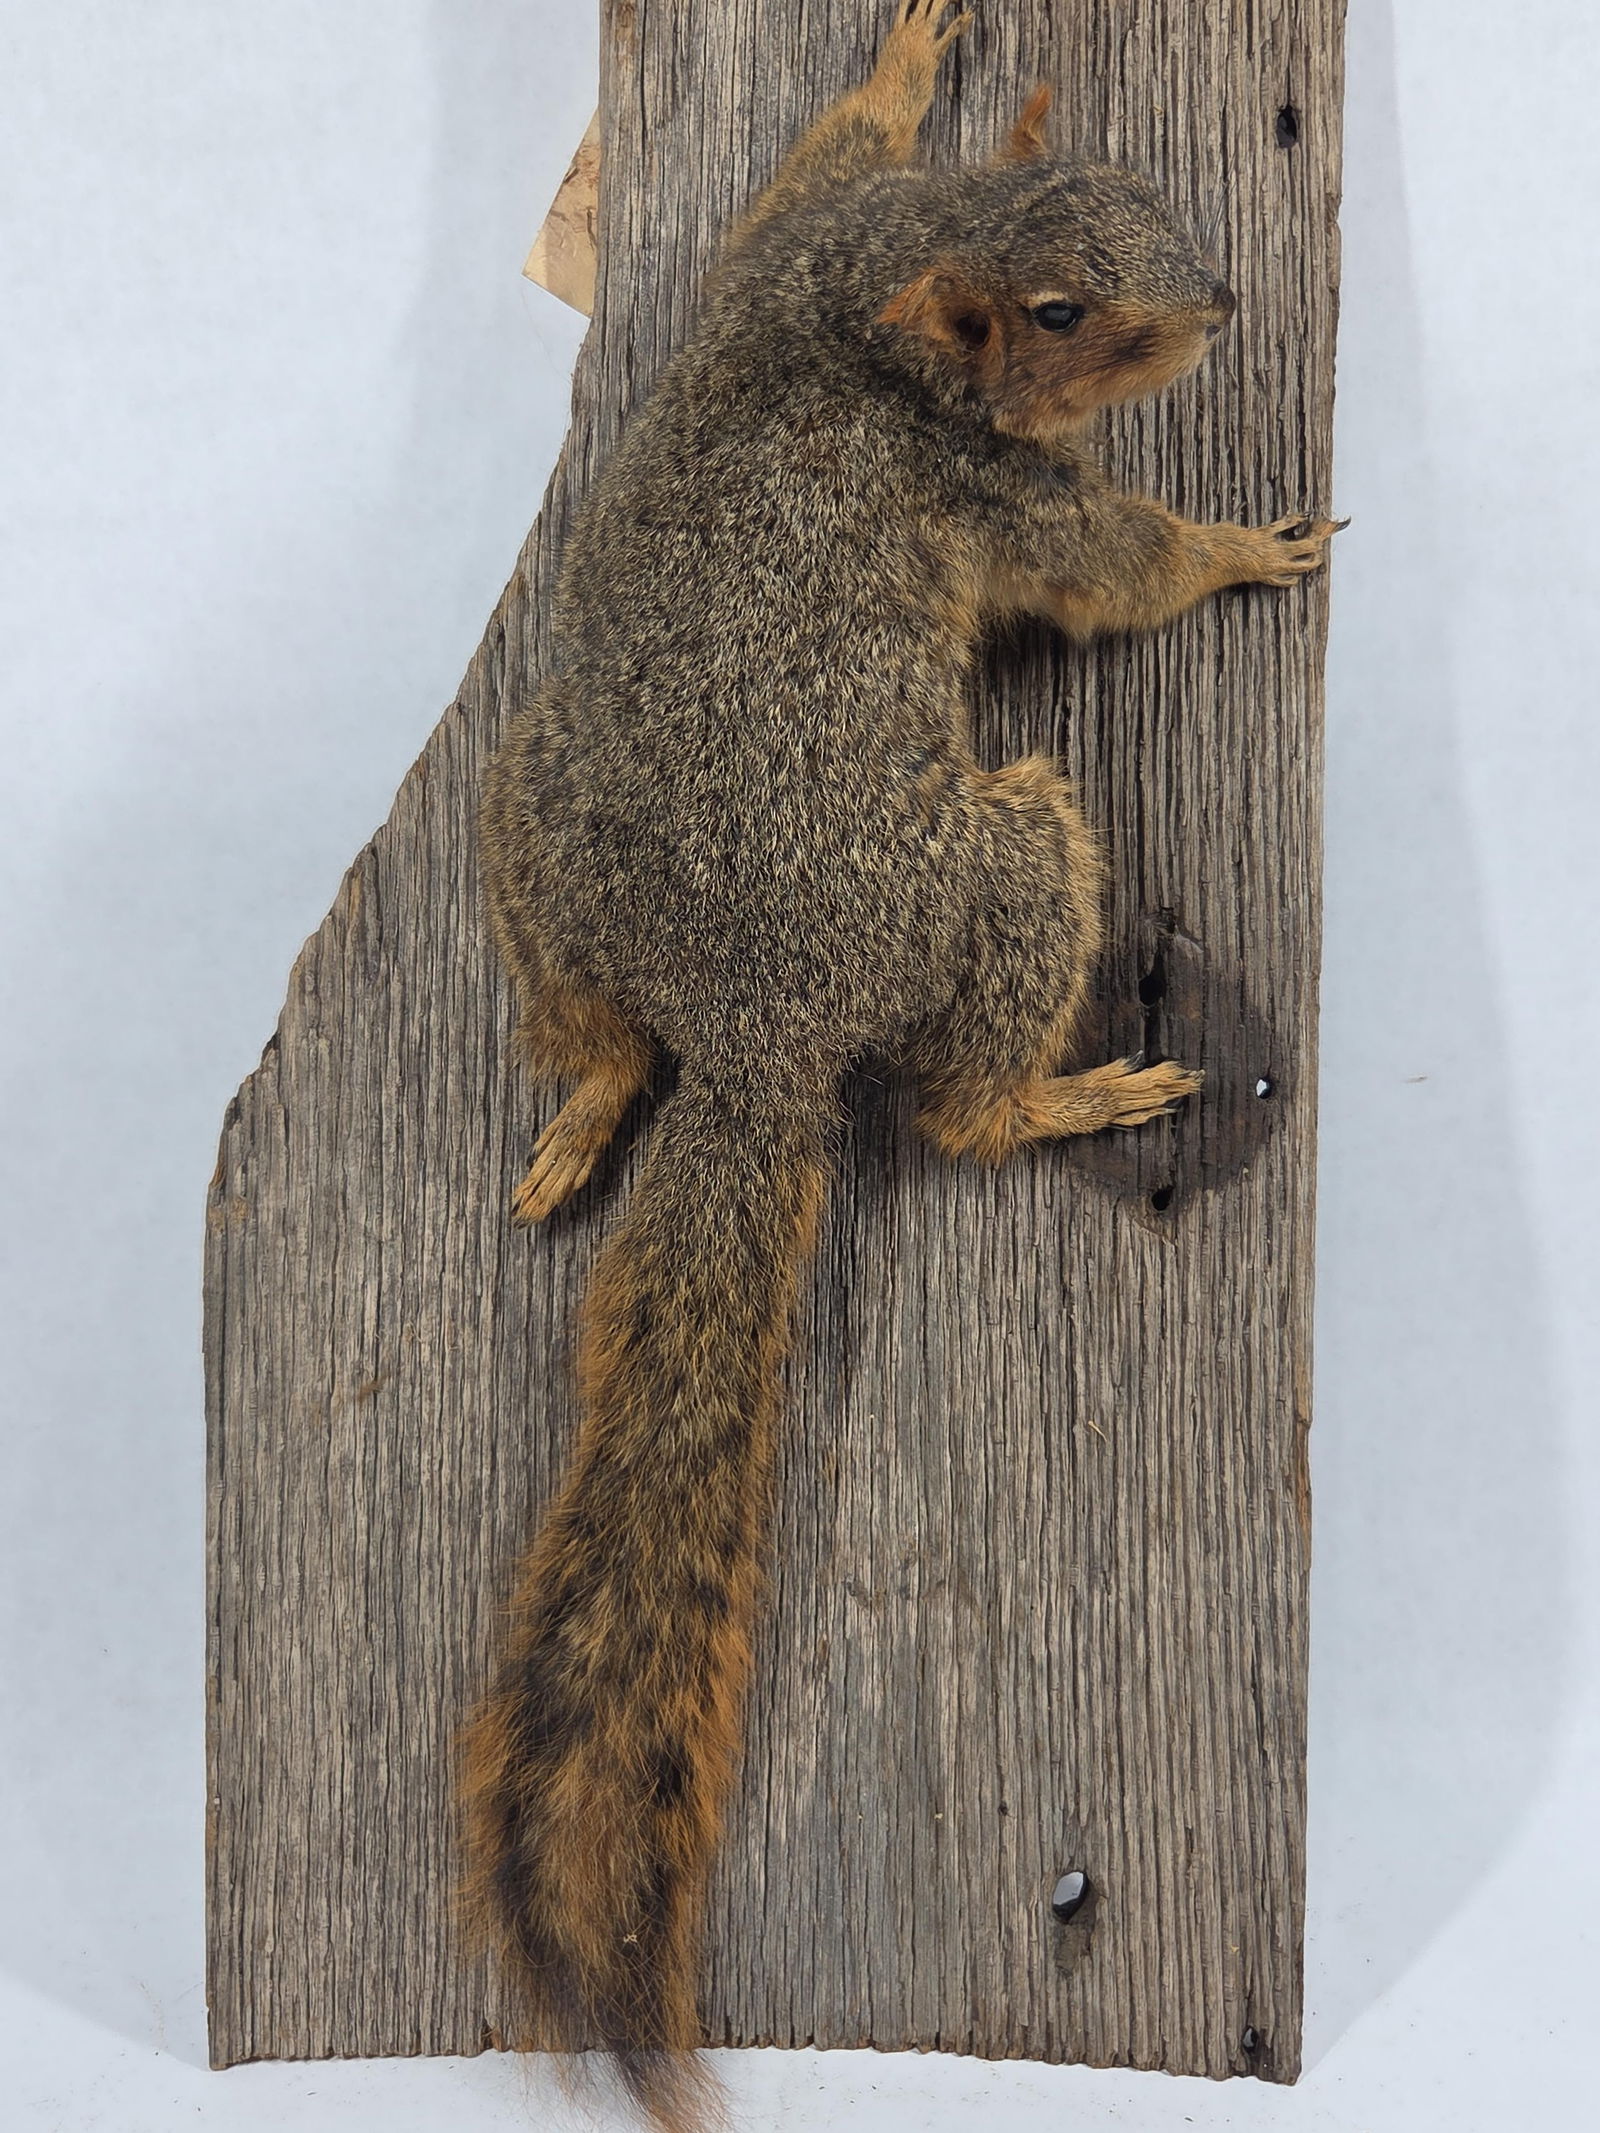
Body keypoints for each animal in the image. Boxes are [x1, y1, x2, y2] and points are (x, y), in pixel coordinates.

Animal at [461, 4, 1341, 2127]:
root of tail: (757, 1026)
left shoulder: (792, 227)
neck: (876, 309)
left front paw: (916, 46)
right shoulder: (1001, 496)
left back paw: (591, 1101)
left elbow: (817, 144)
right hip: (1002, 861)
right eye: (1066, 312)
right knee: (952, 1104)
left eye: (1147, 188)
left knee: (596, 1028)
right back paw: (1074, 1090)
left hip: (533, 822)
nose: (1225, 299)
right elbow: (1124, 561)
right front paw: (1246, 544)